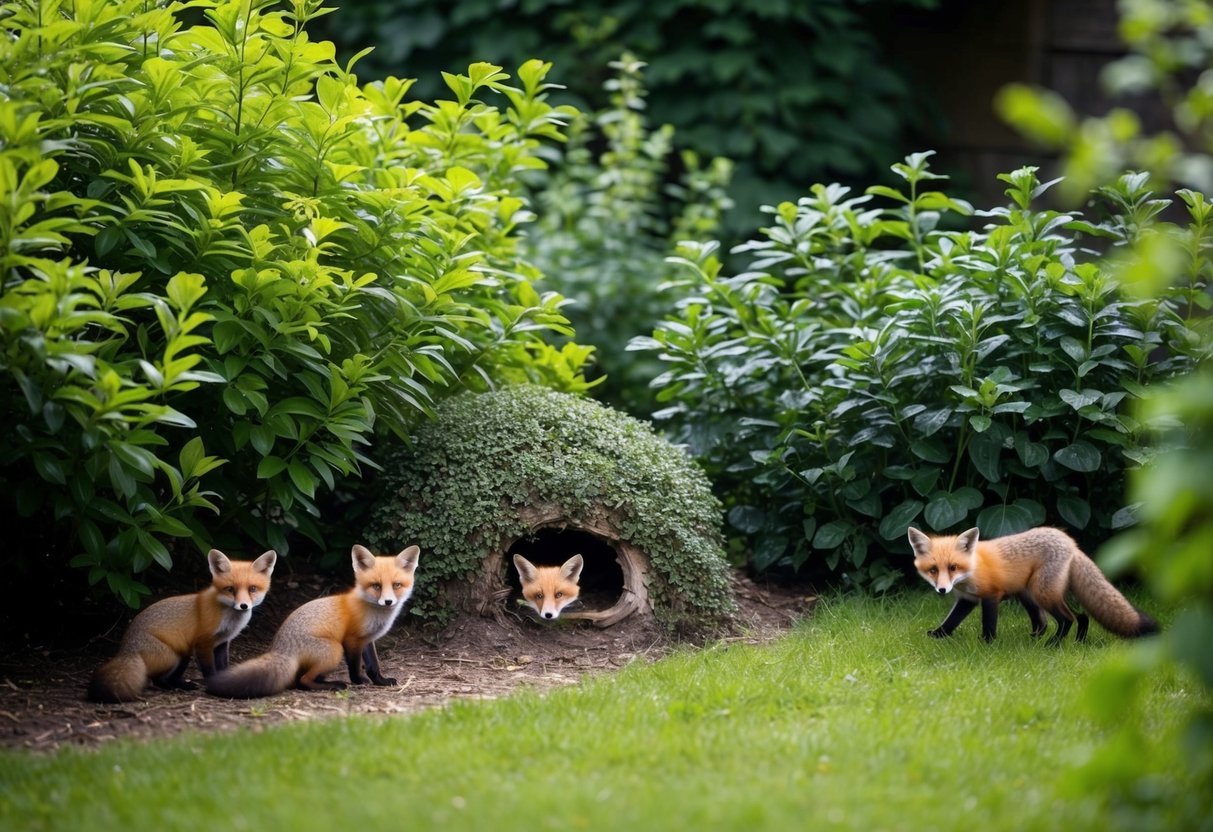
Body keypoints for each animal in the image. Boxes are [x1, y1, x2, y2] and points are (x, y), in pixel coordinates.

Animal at [87, 549, 277, 703]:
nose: (243, 606)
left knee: (164, 679)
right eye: (230, 589)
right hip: (175, 654)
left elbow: (223, 666)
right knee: (157, 679)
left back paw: (181, 685)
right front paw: (214, 687)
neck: (229, 619)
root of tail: (126, 648)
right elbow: (210, 670)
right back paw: (178, 687)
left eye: (252, 589)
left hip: (184, 654)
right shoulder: (203, 643)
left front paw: (226, 682)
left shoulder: (223, 642)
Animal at [205, 544, 419, 698]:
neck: (371, 610)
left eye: (396, 585)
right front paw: (359, 681)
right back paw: (334, 685)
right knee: (303, 681)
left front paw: (380, 681)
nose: (388, 601)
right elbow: (355, 666)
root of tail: (281, 649)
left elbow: (374, 665)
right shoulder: (351, 640)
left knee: (298, 680)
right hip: (334, 649)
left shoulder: (367, 640)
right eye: (376, 586)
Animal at [907, 526, 1159, 644]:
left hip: (1042, 593)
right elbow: (951, 622)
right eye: (933, 570)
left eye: (953, 567)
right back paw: (1074, 641)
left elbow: (989, 624)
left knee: (1067, 618)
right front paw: (938, 635)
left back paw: (1054, 644)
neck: (972, 570)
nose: (942, 590)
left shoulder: (991, 596)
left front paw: (987, 643)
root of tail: (1071, 543)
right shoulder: (967, 599)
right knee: (1073, 617)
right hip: (1030, 595)